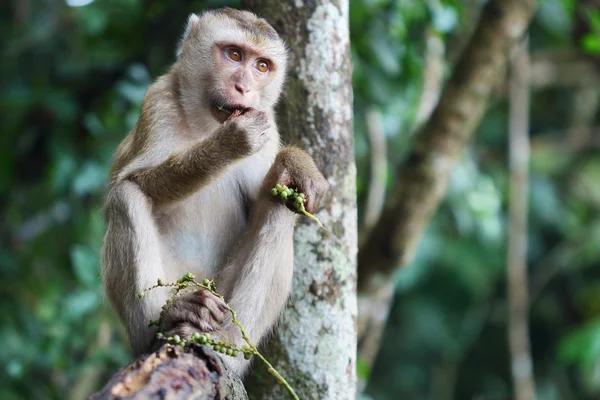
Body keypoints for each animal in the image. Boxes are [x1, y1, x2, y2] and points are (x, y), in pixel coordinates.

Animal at [102, 7, 328, 376]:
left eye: (261, 66)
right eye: (234, 54)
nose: (244, 87)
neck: (204, 124)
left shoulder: (268, 123)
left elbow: (268, 196)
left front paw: (297, 164)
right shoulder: (158, 102)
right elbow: (136, 181)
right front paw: (230, 143)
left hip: (221, 296)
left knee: (280, 206)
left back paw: (228, 347)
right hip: (175, 287)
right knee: (126, 197)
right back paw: (168, 319)